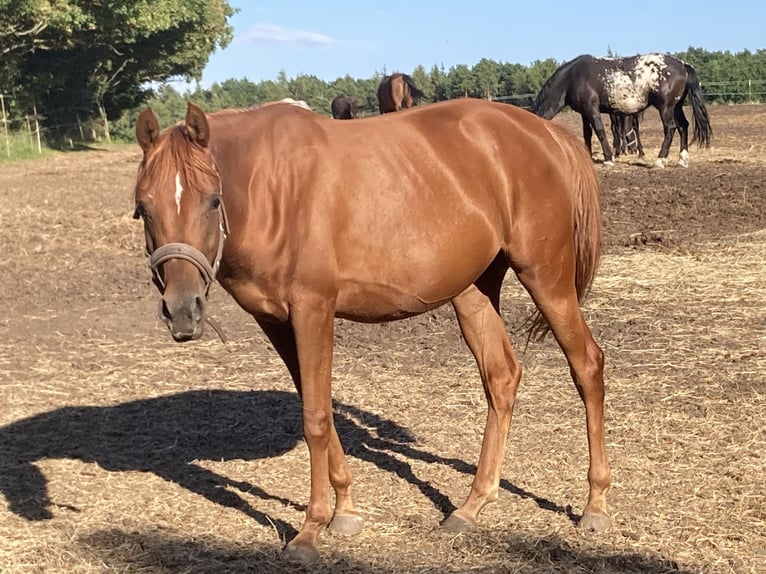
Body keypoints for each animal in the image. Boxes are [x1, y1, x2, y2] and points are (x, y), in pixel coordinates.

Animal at [132, 98, 611, 564]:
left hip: (545, 277)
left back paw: (595, 503)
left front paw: (310, 531)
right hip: (473, 291)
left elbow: (315, 420)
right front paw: (344, 511)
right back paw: (471, 505)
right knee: (502, 377)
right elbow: (317, 408)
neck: (270, 188)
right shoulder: (276, 322)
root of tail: (543, 132)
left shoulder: (313, 311)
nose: (182, 310)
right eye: (143, 208)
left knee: (587, 365)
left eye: (213, 200)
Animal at [532, 53, 712, 168]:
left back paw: (660, 160)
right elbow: (587, 134)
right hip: (676, 107)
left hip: (666, 108)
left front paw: (608, 158)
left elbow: (599, 131)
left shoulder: (592, 108)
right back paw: (682, 160)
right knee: (683, 127)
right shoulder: (584, 112)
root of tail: (683, 65)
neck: (573, 77)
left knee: (671, 129)